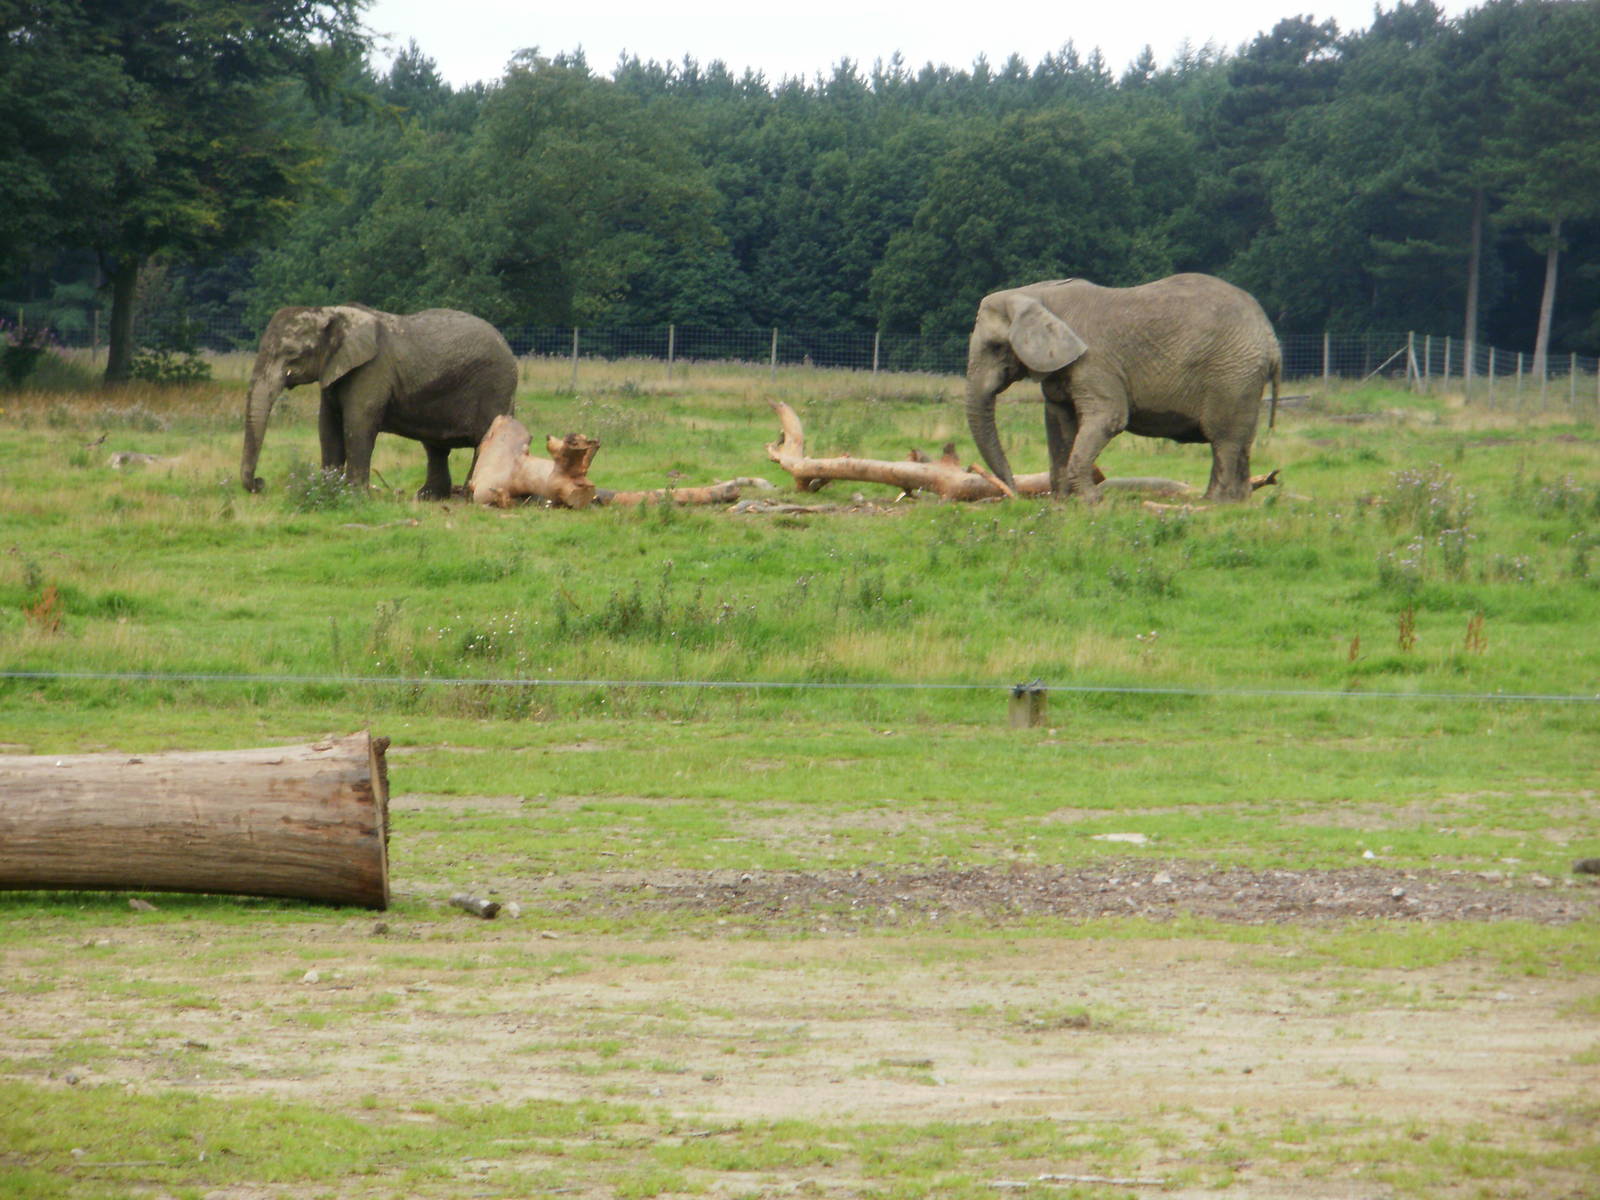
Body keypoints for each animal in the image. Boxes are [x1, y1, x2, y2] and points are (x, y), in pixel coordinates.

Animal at [240, 304, 518, 499]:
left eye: (291, 354)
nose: (260, 483)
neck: (332, 312)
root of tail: (508, 346)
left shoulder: (371, 370)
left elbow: (357, 424)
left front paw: (353, 496)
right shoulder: (333, 371)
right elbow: (327, 428)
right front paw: (327, 489)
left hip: (495, 385)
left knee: (484, 438)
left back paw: (467, 496)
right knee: (435, 447)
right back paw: (428, 497)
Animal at [965, 273, 1281, 503]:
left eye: (996, 347)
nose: (1014, 494)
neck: (1037, 294)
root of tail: (1271, 337)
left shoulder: (1095, 362)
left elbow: (1109, 418)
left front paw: (1091, 501)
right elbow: (1059, 423)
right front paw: (1062, 503)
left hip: (1232, 374)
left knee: (1223, 439)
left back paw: (1214, 503)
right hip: (1244, 378)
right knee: (1242, 440)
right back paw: (1238, 501)